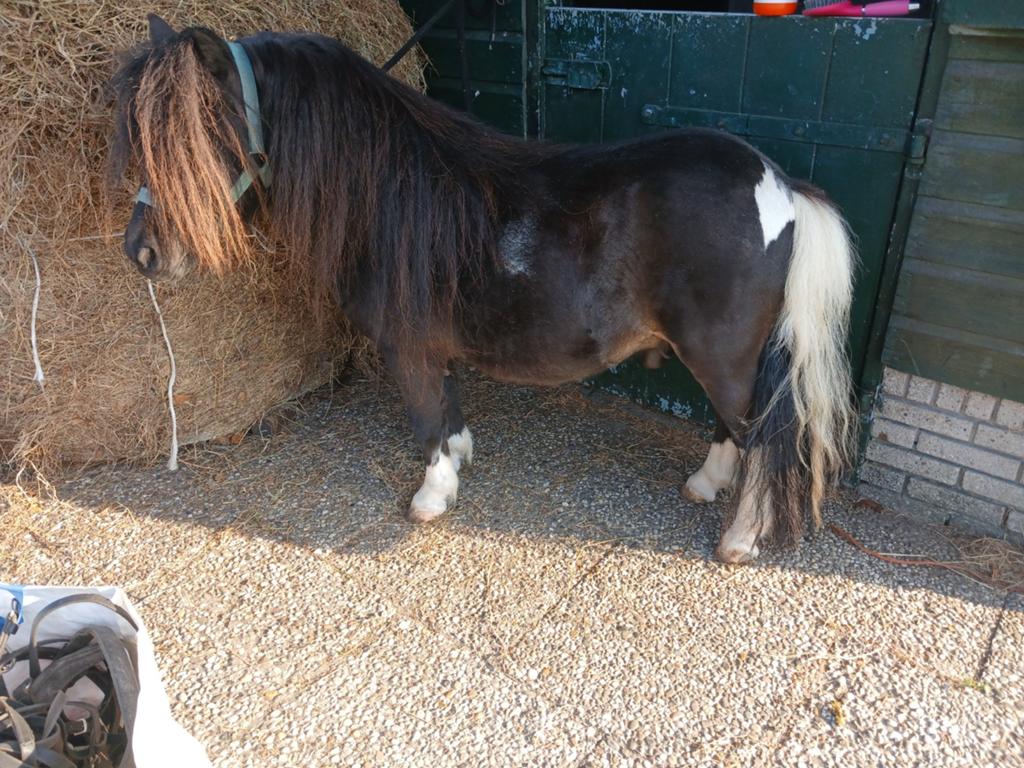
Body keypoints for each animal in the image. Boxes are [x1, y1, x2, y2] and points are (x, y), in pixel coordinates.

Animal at [110, 15, 857, 564]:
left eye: (198, 138)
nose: (140, 252)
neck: (386, 192)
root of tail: (781, 183)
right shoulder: (431, 342)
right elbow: (447, 404)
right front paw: (461, 454)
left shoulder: (405, 345)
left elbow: (424, 417)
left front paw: (432, 496)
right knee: (733, 429)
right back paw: (705, 487)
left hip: (722, 356)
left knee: (759, 435)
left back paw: (739, 539)